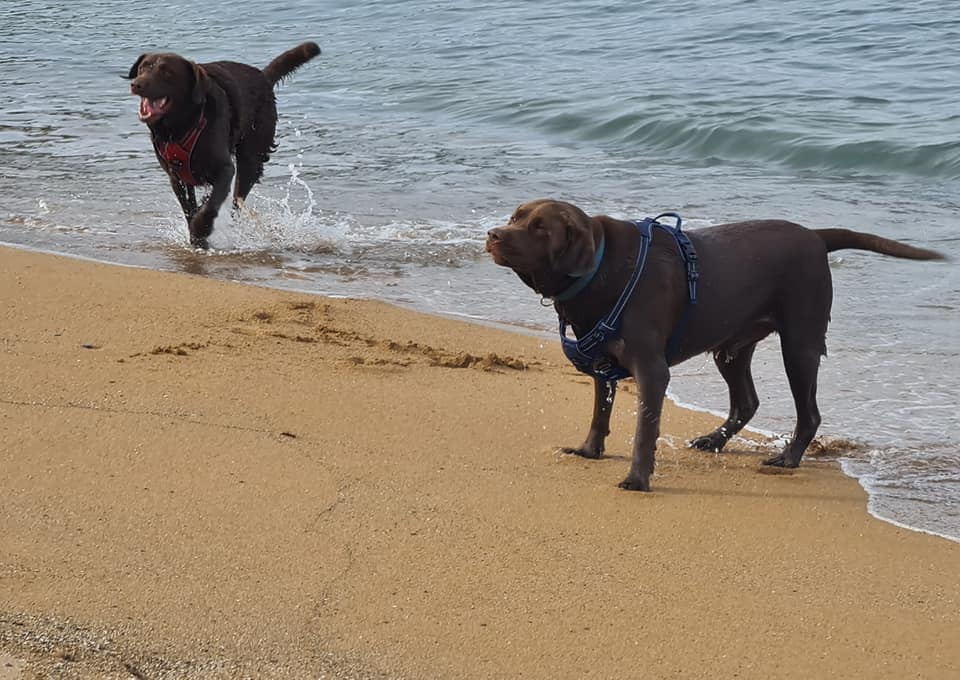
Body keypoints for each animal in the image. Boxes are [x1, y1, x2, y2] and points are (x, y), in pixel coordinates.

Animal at [127, 41, 320, 247]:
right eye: (142, 68)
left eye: (166, 72)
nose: (136, 84)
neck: (182, 125)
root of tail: (263, 78)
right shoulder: (176, 177)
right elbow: (189, 208)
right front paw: (196, 237)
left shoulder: (225, 170)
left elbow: (211, 205)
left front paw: (201, 229)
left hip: (251, 159)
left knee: (237, 201)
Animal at [488, 199, 944, 492]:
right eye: (515, 216)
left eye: (539, 227)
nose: (492, 233)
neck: (603, 268)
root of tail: (815, 237)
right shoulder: (602, 362)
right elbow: (600, 412)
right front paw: (588, 451)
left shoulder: (652, 370)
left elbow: (644, 430)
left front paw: (637, 479)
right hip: (733, 348)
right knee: (747, 401)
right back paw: (713, 440)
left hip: (800, 343)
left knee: (809, 412)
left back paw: (787, 458)